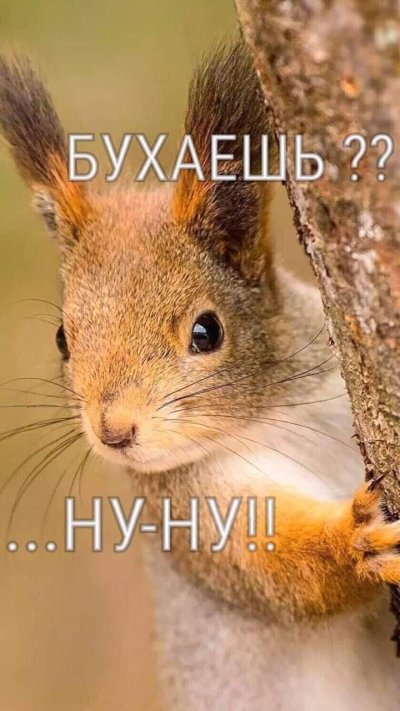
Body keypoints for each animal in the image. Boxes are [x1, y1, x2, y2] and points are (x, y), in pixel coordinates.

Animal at [0, 41, 399, 711]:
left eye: (207, 331)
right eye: (62, 339)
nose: (114, 432)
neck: (268, 416)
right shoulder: (192, 519)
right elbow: (282, 575)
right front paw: (357, 539)